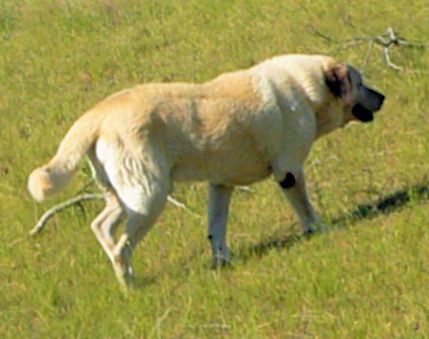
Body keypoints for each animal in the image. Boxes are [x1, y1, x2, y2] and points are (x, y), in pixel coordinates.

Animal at [29, 54, 384, 288]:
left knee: (100, 226)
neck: (307, 87)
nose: (383, 96)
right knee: (121, 247)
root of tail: (97, 113)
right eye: (361, 82)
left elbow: (216, 228)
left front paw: (222, 263)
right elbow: (307, 209)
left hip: (125, 196)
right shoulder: (289, 172)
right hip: (149, 196)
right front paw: (321, 230)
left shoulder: (220, 185)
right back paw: (130, 287)